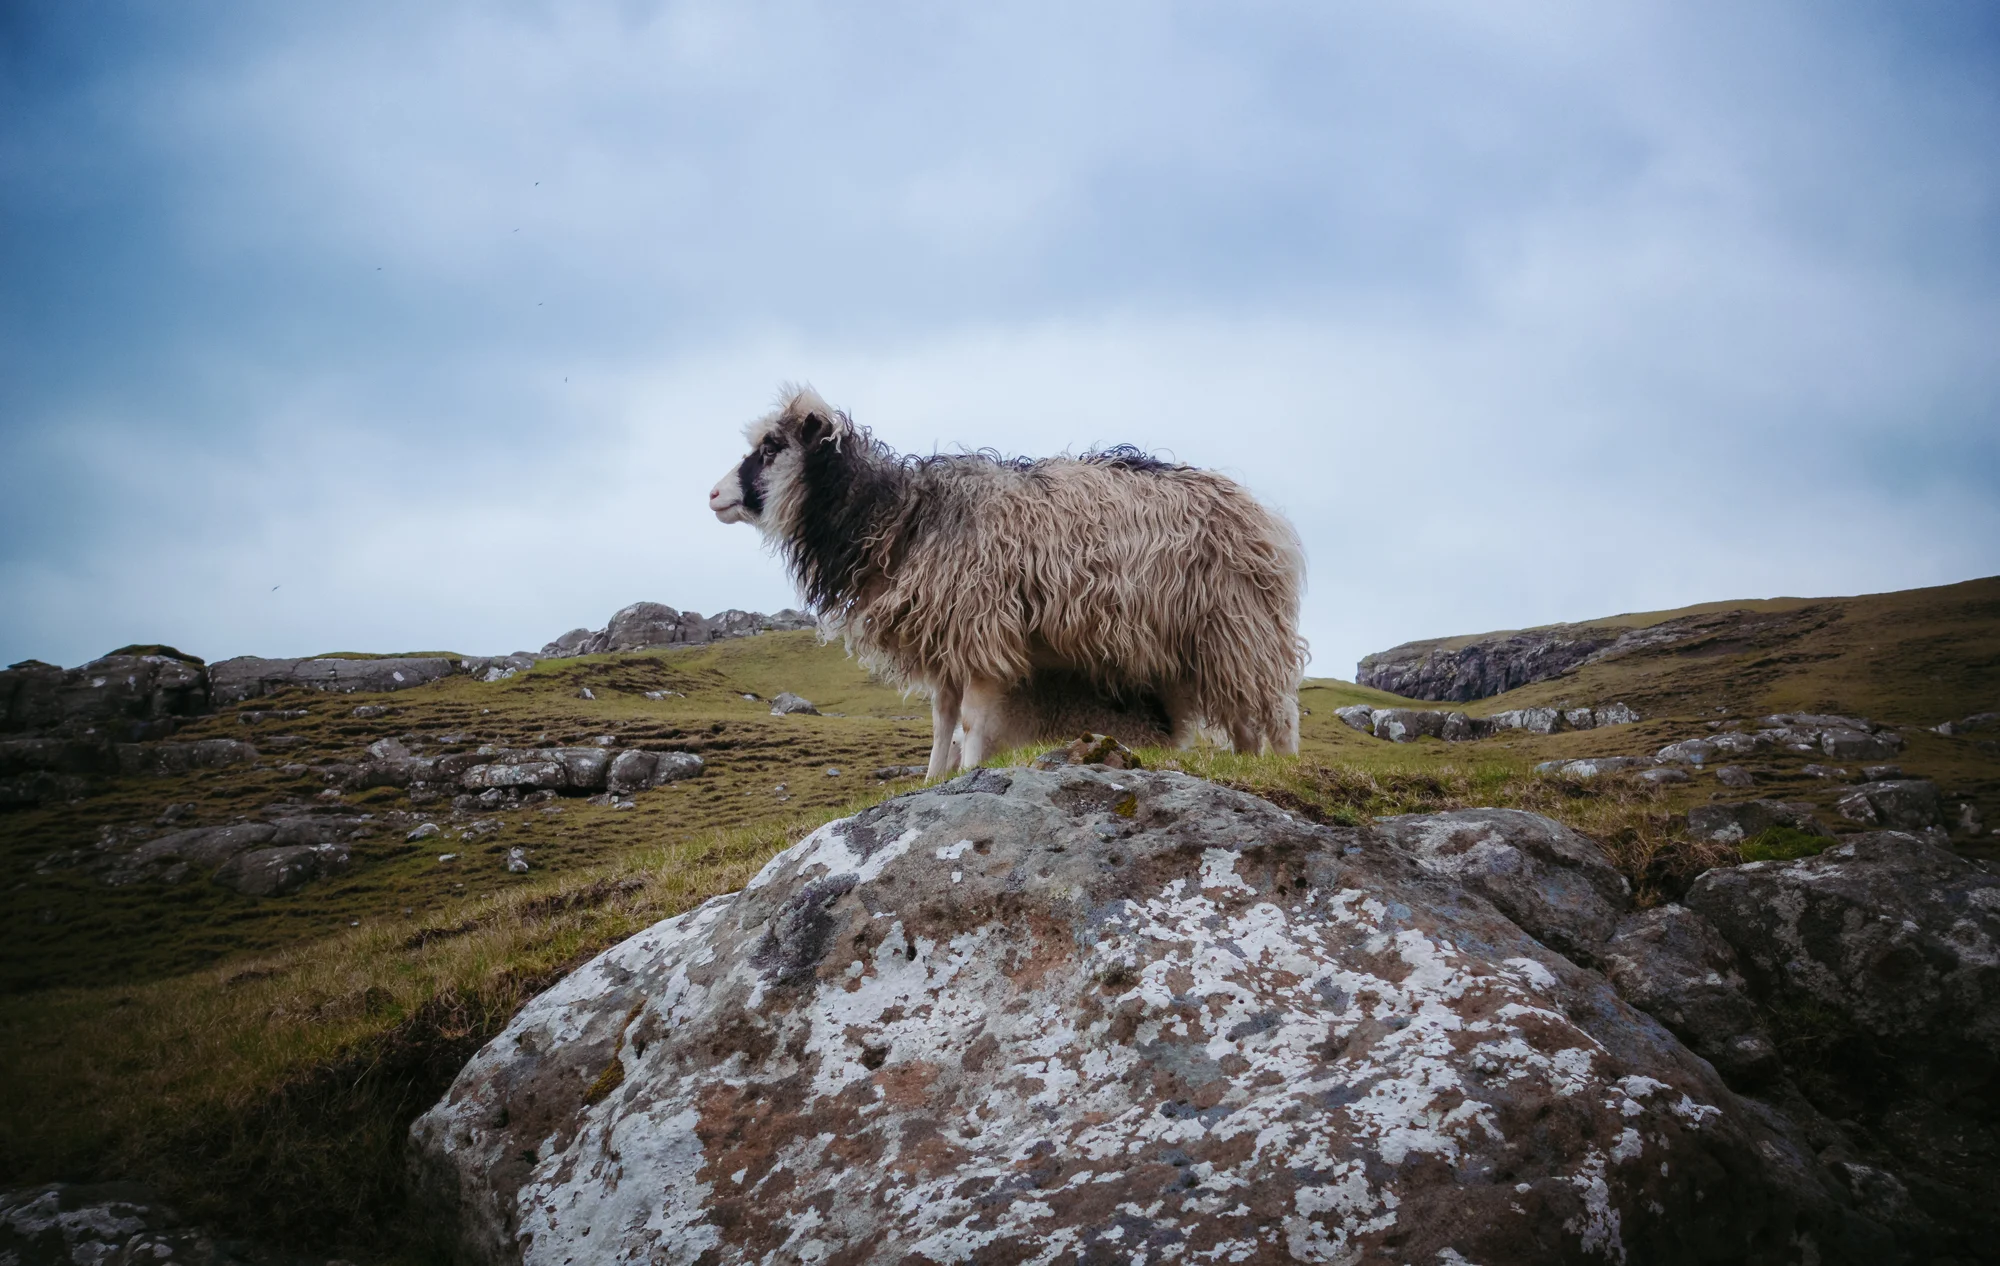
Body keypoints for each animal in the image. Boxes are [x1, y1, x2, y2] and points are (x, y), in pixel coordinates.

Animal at [709, 387, 1306, 777]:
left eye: (771, 448)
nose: (713, 495)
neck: (899, 518)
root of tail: (1265, 518)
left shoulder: (981, 629)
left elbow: (974, 722)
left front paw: (969, 772)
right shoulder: (944, 638)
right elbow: (941, 722)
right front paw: (933, 778)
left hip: (1242, 627)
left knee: (1277, 711)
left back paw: (1283, 767)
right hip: (1202, 644)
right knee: (1243, 717)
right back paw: (1249, 766)